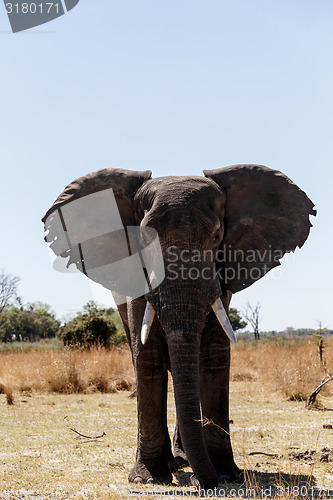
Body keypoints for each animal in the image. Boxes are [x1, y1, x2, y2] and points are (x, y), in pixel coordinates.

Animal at [42, 164, 316, 488]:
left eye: (218, 235)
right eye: (143, 238)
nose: (207, 483)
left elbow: (213, 354)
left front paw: (226, 474)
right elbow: (148, 357)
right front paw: (148, 478)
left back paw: (185, 459)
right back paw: (174, 463)